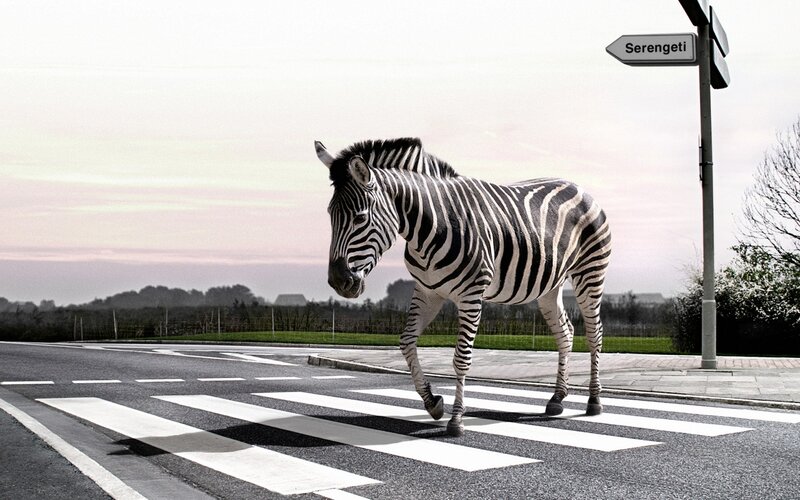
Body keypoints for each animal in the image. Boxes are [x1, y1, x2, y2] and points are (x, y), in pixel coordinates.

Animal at [315, 137, 611, 436]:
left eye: (359, 218)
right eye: (329, 214)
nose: (338, 281)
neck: (430, 228)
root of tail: (578, 187)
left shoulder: (471, 295)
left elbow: (461, 358)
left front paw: (456, 419)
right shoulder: (427, 292)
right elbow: (406, 342)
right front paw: (433, 402)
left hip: (590, 273)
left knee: (594, 333)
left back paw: (594, 401)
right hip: (550, 286)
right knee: (566, 333)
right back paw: (557, 398)